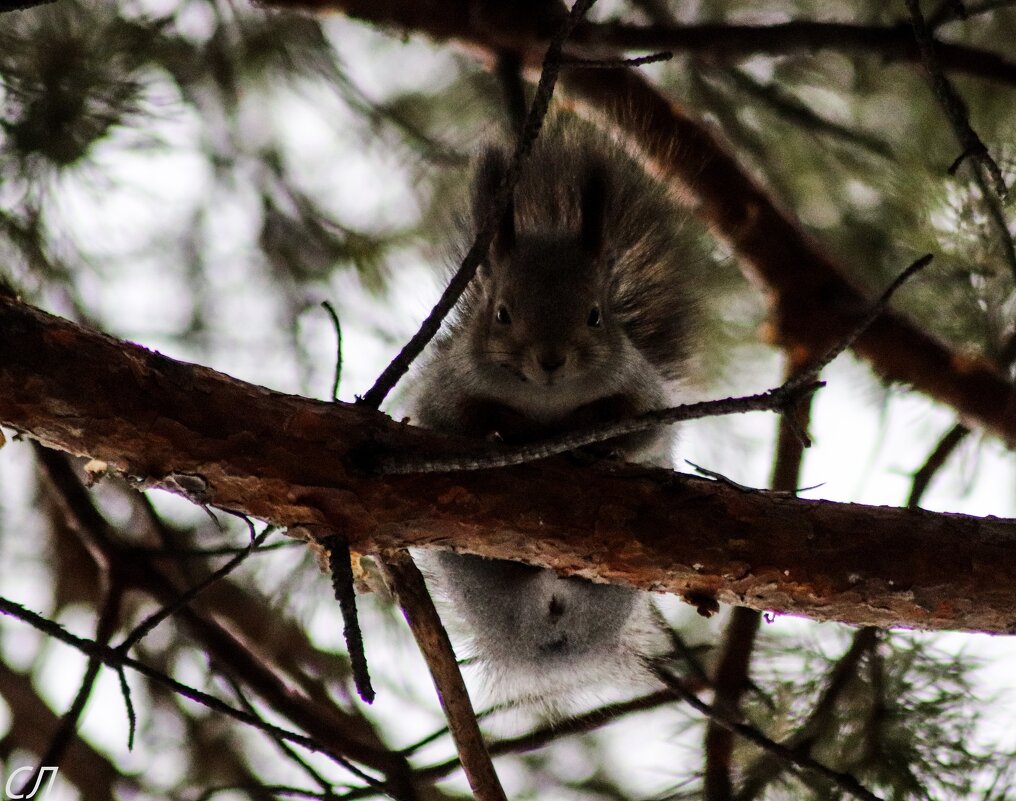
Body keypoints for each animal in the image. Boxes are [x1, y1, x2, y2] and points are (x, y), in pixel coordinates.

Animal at [408, 117, 703, 707]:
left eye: (595, 315)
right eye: (501, 313)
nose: (549, 359)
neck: (547, 402)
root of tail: (546, 635)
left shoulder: (645, 398)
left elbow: (645, 438)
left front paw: (604, 448)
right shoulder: (440, 395)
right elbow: (446, 423)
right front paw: (495, 436)